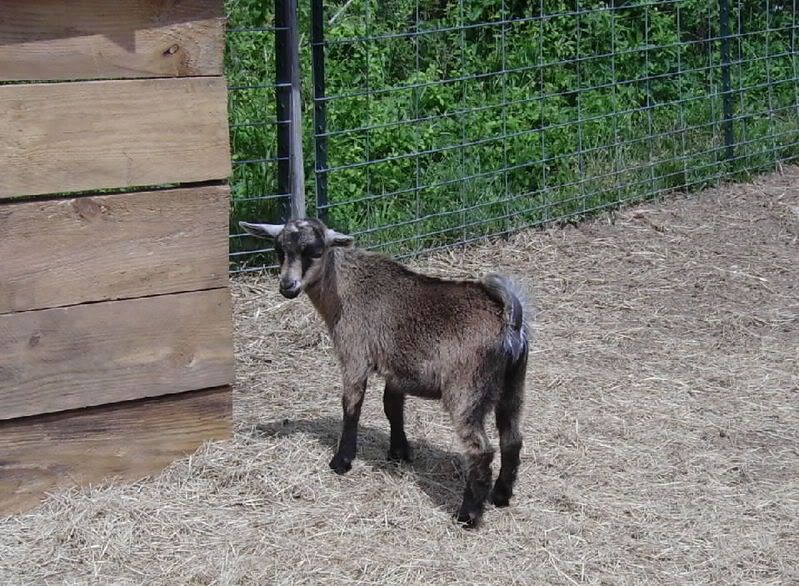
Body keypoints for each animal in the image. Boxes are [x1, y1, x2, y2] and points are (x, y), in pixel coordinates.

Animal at [240, 218, 530, 527]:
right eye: (278, 249)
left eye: (315, 251)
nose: (287, 286)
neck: (345, 286)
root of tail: (510, 323)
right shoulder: (397, 370)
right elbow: (392, 407)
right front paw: (399, 452)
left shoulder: (354, 353)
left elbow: (352, 405)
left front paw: (342, 461)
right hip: (513, 385)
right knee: (512, 438)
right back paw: (500, 496)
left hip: (467, 390)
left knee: (481, 450)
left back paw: (468, 515)